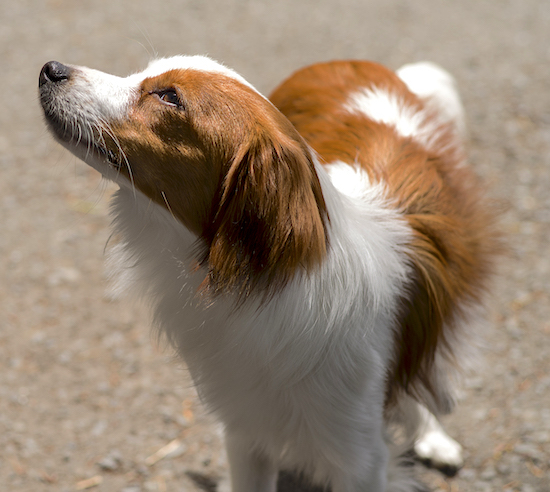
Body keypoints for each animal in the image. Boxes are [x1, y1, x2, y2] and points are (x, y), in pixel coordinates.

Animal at [38, 55, 500, 490]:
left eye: (169, 97)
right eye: (142, 74)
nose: (51, 69)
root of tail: (355, 63)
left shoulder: (359, 460)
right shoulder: (247, 430)